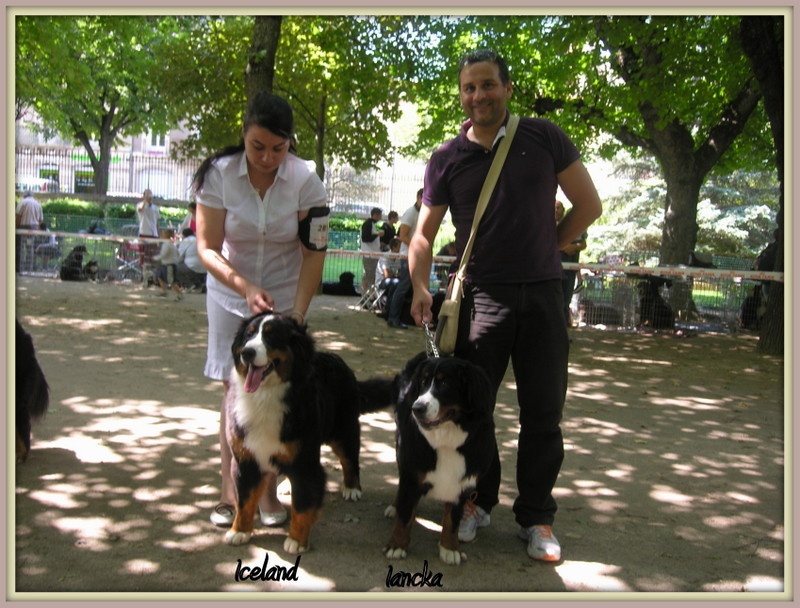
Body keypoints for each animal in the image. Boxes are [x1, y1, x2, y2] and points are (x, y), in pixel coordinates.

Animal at [224, 312, 392, 553]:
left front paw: (296, 540)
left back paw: (352, 488)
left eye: (271, 337)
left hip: (344, 432)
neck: (265, 396)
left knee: (350, 460)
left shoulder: (306, 463)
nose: (247, 352)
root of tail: (337, 359)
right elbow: (244, 501)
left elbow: (303, 505)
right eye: (249, 335)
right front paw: (240, 531)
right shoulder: (246, 459)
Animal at [383, 352, 496, 565]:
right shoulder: (412, 474)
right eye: (423, 382)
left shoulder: (462, 482)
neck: (446, 441)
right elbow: (405, 515)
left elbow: (452, 520)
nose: (417, 407)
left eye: (444, 383)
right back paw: (394, 507)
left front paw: (450, 548)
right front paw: (397, 545)